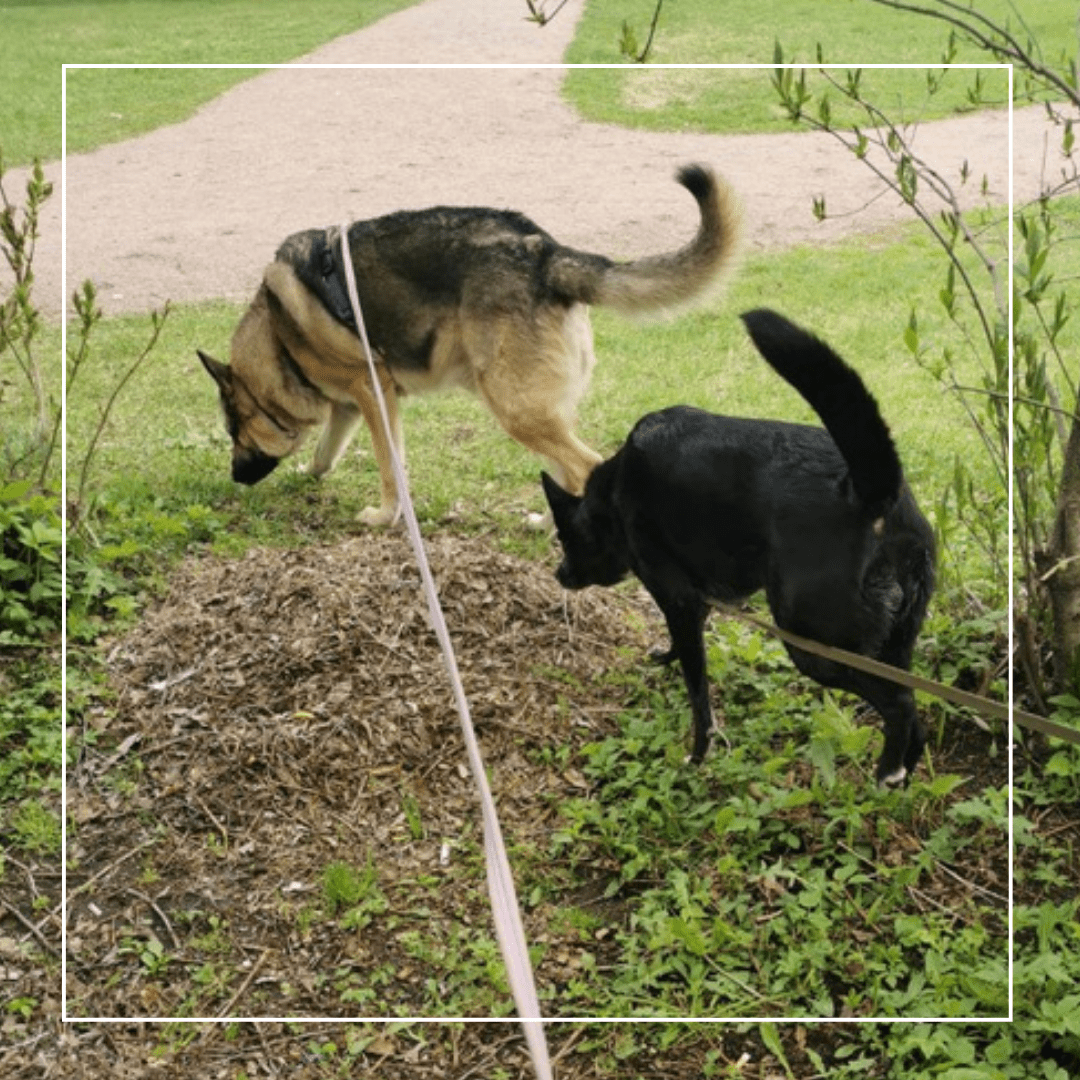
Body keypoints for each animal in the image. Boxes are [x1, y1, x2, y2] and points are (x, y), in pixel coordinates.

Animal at [198, 160, 743, 527]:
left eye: (233, 430)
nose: (234, 477)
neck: (278, 337)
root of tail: (546, 253)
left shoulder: (375, 394)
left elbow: (390, 469)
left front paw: (386, 517)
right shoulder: (354, 406)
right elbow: (325, 454)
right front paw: (311, 473)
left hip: (515, 408)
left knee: (585, 468)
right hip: (530, 409)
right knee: (567, 474)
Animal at [544, 306, 933, 786]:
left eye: (566, 538)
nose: (559, 574)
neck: (615, 490)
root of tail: (866, 493)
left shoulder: (678, 600)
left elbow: (698, 694)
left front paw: (697, 755)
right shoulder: (698, 602)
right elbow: (683, 651)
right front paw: (666, 657)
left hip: (815, 645)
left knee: (900, 705)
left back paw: (887, 769)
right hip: (894, 641)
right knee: (914, 709)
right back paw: (902, 774)